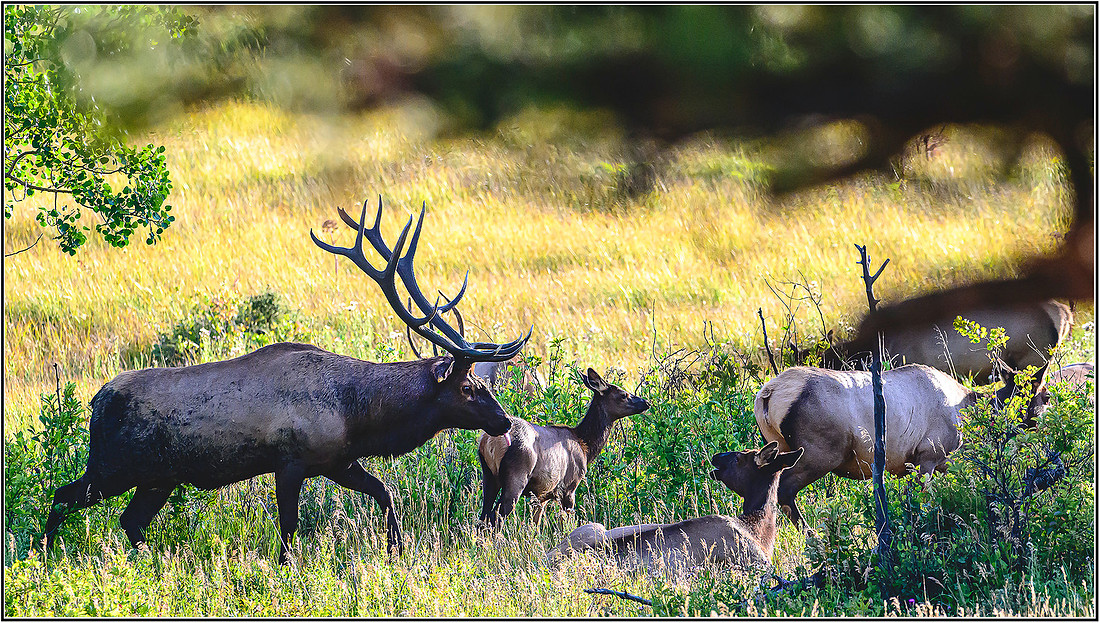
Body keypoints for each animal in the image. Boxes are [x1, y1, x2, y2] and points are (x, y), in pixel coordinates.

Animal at [42, 197, 531, 564]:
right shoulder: (291, 460)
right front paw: (285, 570)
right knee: (62, 495)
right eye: (467, 388)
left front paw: (396, 549)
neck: (357, 415)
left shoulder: (337, 460)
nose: (504, 421)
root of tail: (95, 402)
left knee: (130, 521)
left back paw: (152, 565)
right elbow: (290, 527)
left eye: (485, 386)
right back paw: (45, 557)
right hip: (114, 466)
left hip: (157, 477)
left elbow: (386, 493)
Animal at [477, 368, 649, 526]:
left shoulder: (542, 495)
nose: (646, 402)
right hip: (517, 474)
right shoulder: (569, 486)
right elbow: (567, 522)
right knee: (496, 516)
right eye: (623, 394)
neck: (585, 446)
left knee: (483, 517)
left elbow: (535, 525)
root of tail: (489, 441)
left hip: (489, 475)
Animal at [548, 442, 804, 576]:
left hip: (593, 527)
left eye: (739, 458)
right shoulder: (756, 563)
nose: (715, 456)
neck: (758, 528)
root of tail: (545, 561)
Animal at [753, 362, 1049, 530]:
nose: (1043, 426)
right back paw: (811, 535)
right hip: (819, 453)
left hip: (779, 448)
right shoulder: (927, 456)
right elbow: (921, 501)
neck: (965, 413)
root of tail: (767, 396)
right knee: (784, 489)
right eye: (1045, 396)